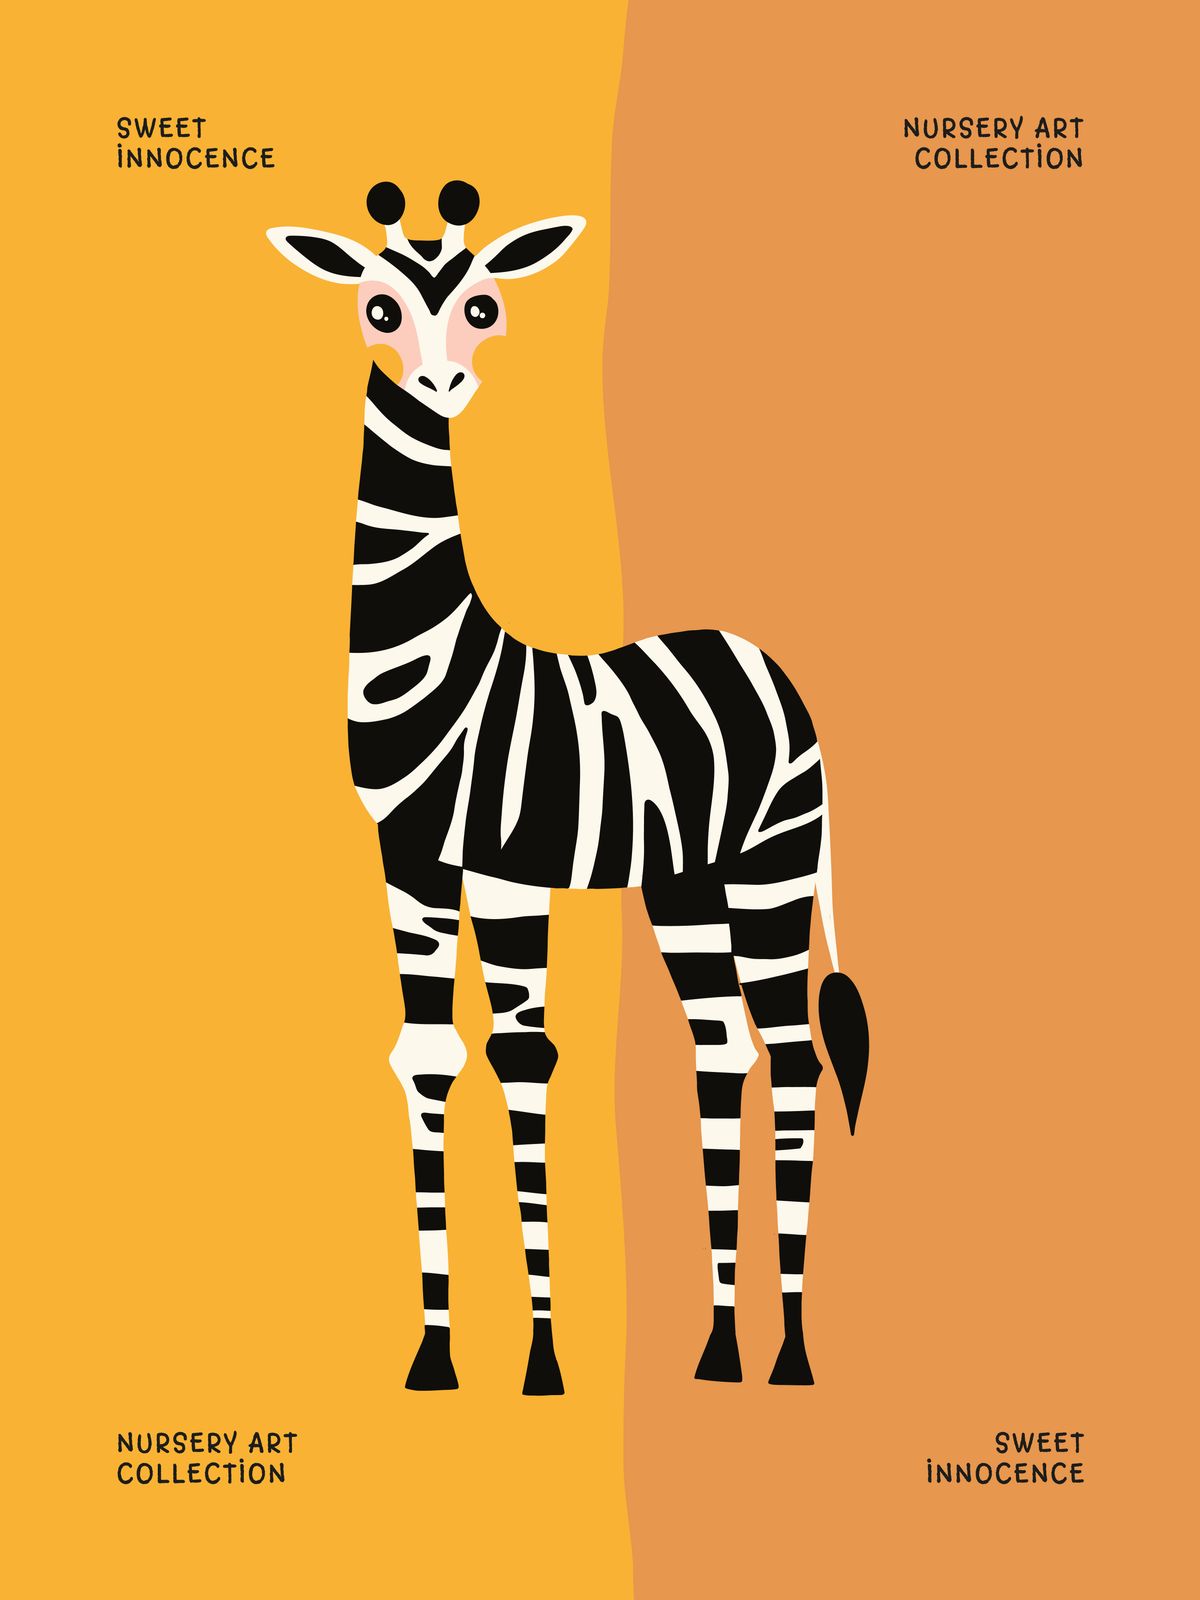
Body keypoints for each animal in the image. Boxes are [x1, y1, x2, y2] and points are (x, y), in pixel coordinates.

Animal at [267, 181, 869, 1395]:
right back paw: (720, 1346)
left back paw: (788, 1352)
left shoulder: (505, 869)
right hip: (685, 889)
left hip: (773, 872)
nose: (442, 389)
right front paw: (438, 1353)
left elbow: (524, 1059)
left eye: (485, 307)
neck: (440, 658)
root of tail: (769, 660)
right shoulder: (409, 861)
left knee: (791, 1055)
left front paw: (540, 1356)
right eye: (378, 308)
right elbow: (431, 1057)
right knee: (724, 1048)